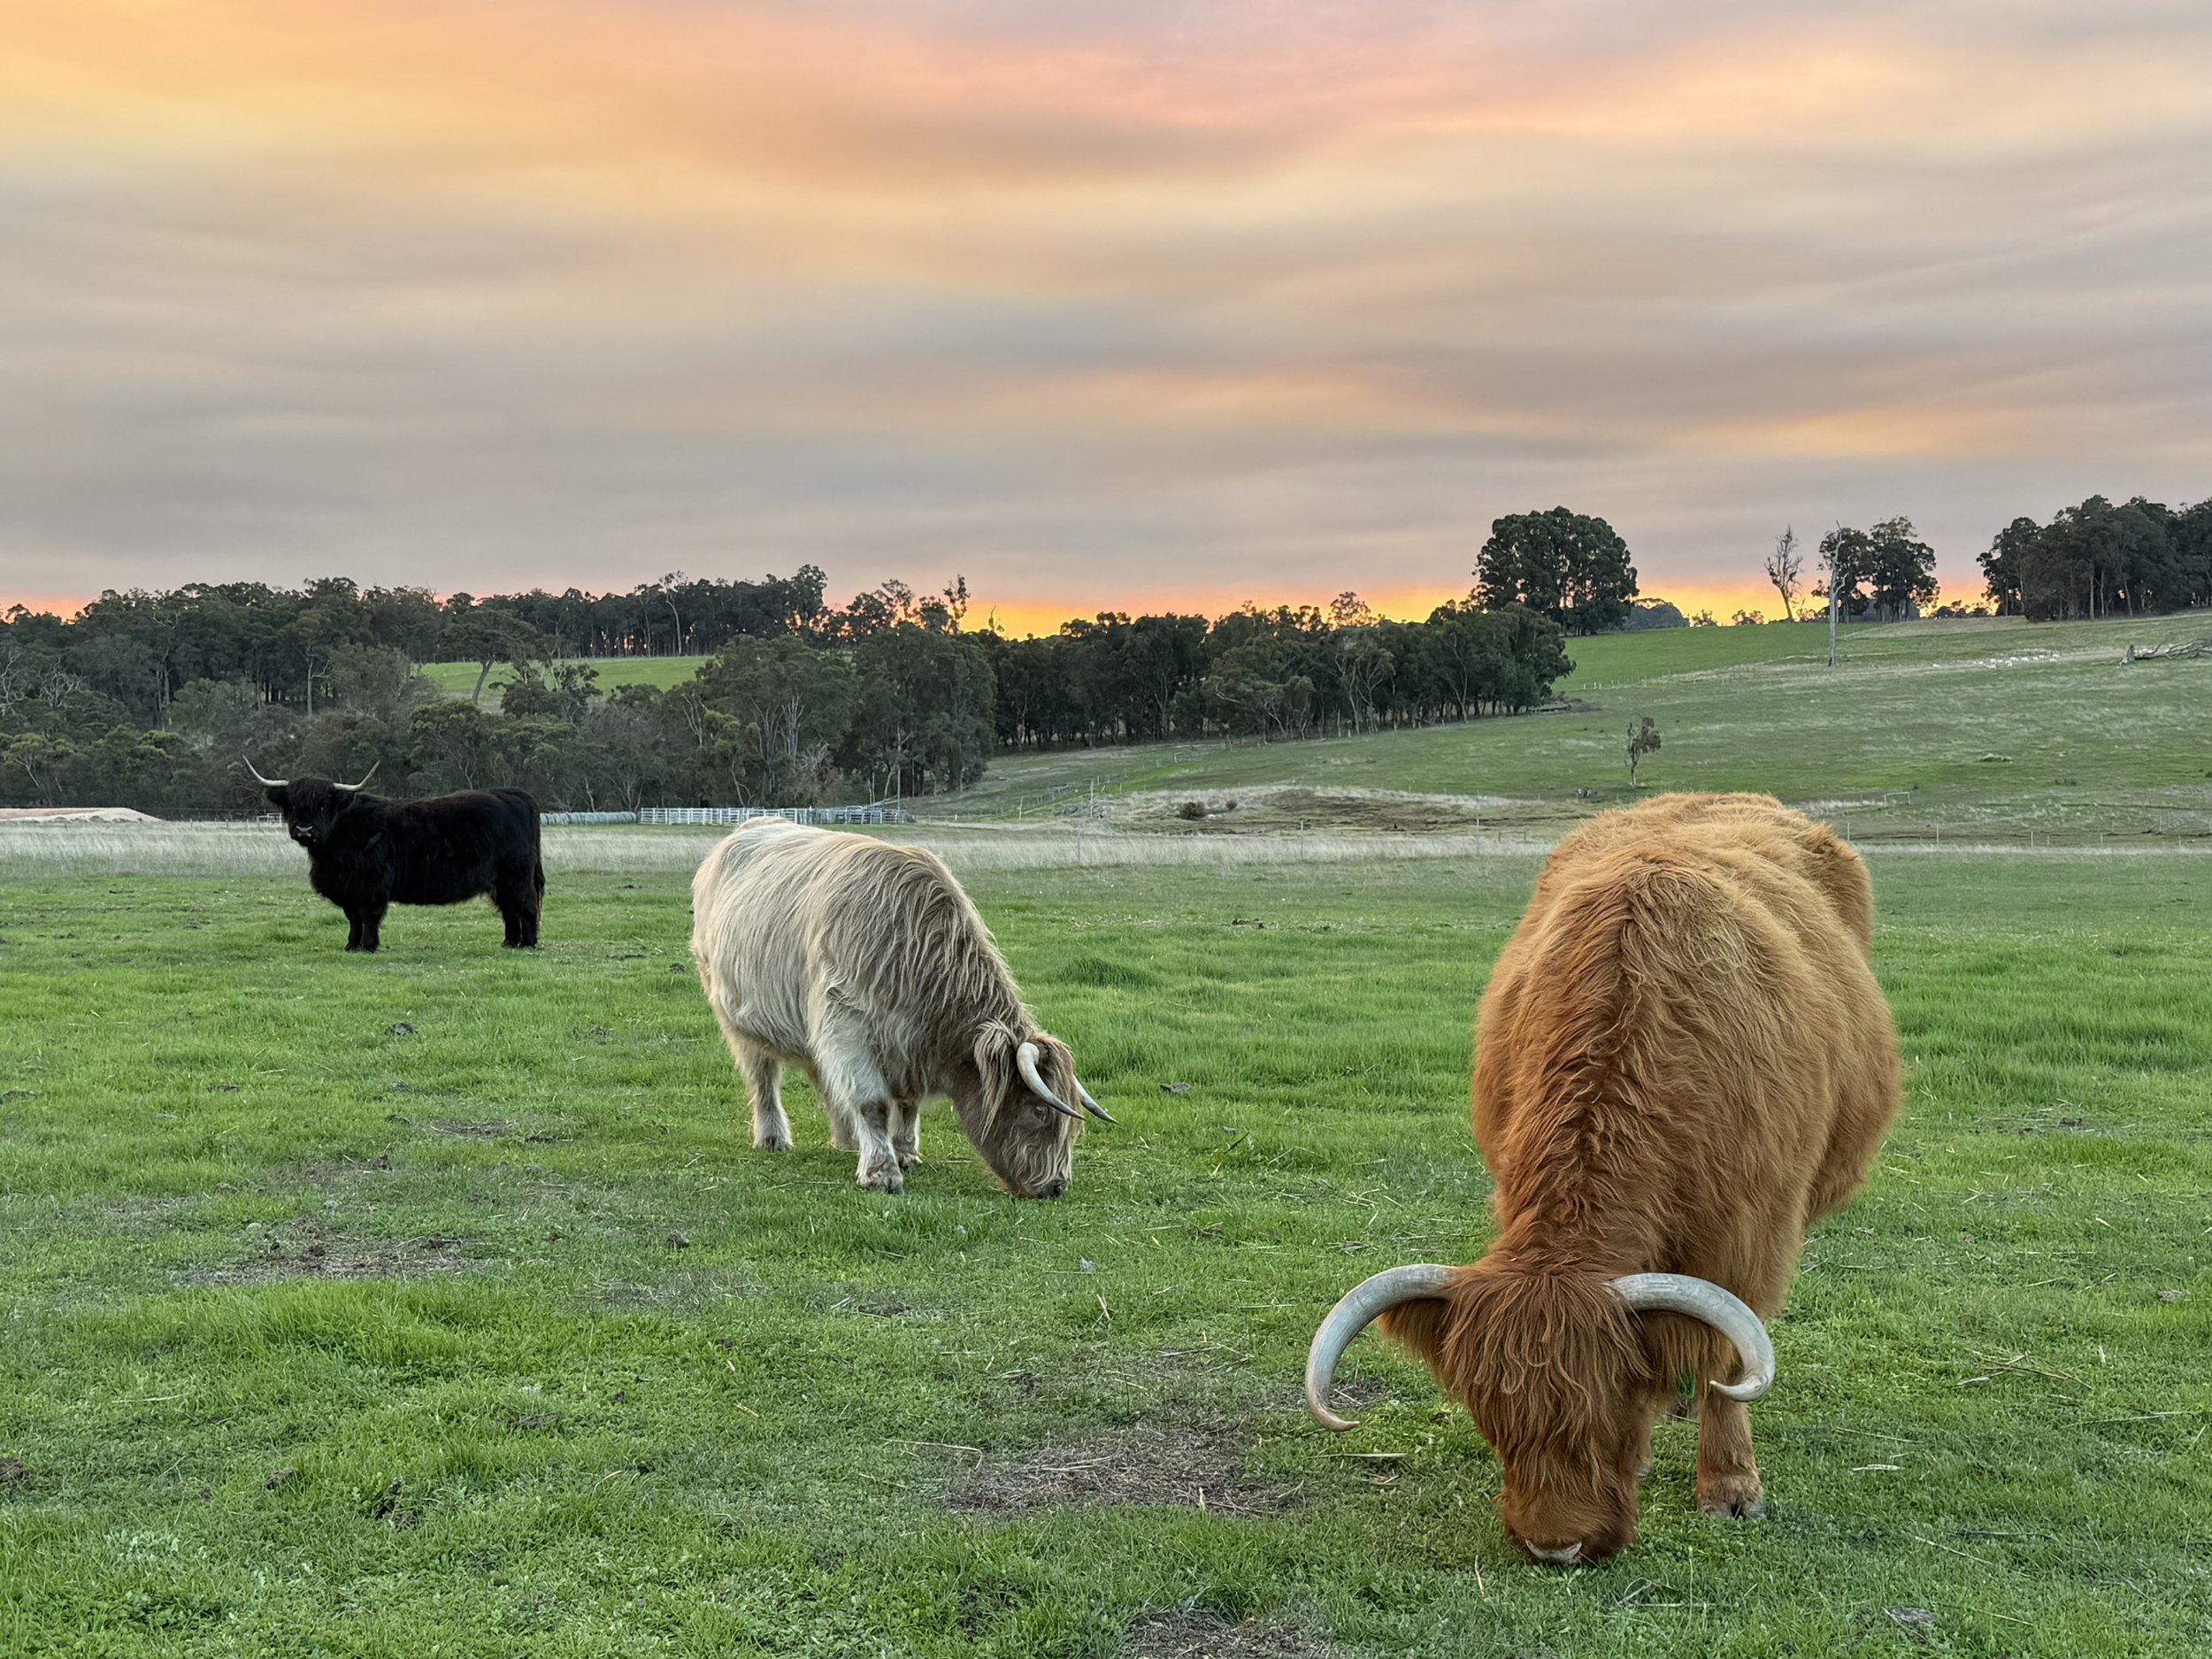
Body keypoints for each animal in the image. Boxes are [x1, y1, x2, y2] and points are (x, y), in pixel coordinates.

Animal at [246, 762, 545, 953]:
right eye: (293, 805)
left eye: (323, 804)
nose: (304, 830)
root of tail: (513, 793)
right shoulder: (348, 889)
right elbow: (353, 918)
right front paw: (351, 945)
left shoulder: (372, 884)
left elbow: (369, 916)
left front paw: (368, 946)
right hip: (500, 880)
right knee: (509, 908)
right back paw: (510, 942)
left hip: (516, 874)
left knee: (525, 905)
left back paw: (527, 944)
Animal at [689, 816, 1112, 1198]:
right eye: (1040, 1110)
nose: (1057, 1187)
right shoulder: (846, 1024)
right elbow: (871, 1102)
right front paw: (882, 1172)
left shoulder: (905, 1044)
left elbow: (907, 1103)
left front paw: (905, 1152)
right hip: (736, 1014)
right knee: (763, 1077)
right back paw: (773, 1137)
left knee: (821, 1075)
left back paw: (846, 1139)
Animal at [1305, 792, 1902, 1565]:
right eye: (1490, 1420)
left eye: (1610, 1413)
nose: (1554, 1547)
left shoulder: (1749, 1234)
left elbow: (1729, 1363)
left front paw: (1731, 1487)